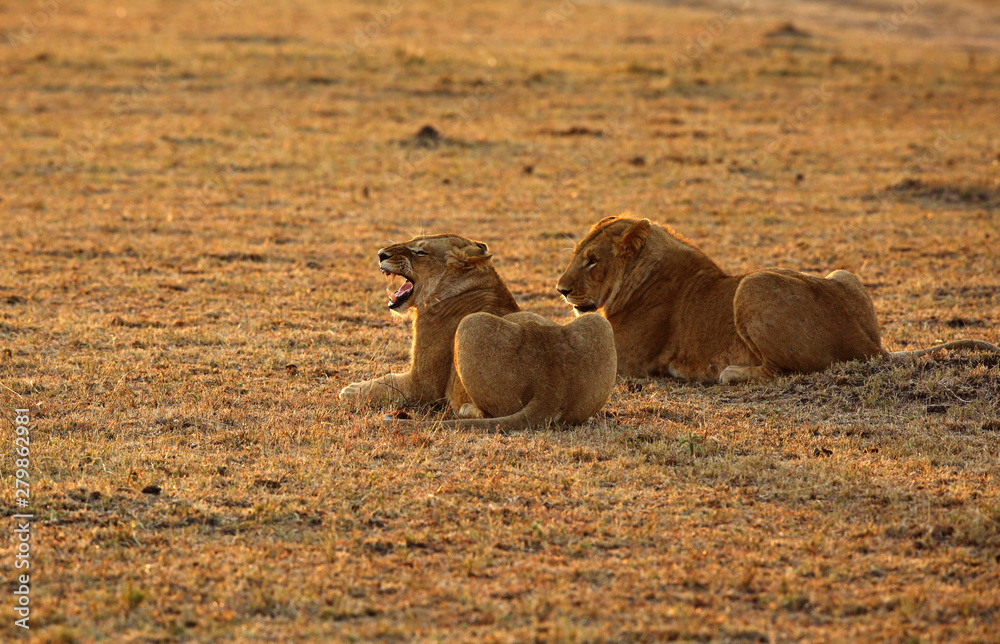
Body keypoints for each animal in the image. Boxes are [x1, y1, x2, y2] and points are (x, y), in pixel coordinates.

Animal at [339, 234, 617, 429]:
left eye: (420, 251)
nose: (380, 253)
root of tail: (551, 387)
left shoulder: (423, 383)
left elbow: (388, 383)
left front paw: (350, 390)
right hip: (598, 323)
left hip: (470, 325)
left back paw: (466, 410)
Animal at [556, 214, 1000, 383]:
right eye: (575, 254)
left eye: (592, 261)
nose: (560, 289)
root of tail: (869, 345)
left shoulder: (629, 359)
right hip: (843, 275)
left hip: (752, 285)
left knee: (785, 370)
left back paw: (732, 373)